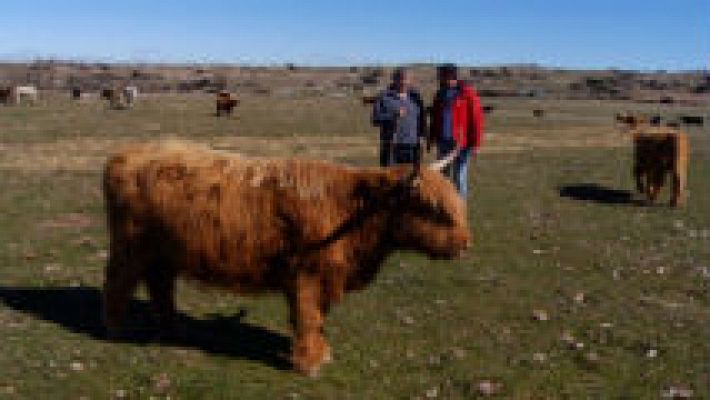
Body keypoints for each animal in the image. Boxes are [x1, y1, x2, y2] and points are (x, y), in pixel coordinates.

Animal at [102, 142, 470, 376]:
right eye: (433, 208)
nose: (466, 244)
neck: (355, 211)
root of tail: (124, 155)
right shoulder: (306, 276)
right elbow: (308, 317)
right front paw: (309, 363)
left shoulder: (323, 278)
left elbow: (318, 318)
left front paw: (321, 353)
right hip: (131, 246)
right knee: (118, 281)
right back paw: (117, 327)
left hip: (161, 251)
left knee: (160, 284)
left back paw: (171, 328)